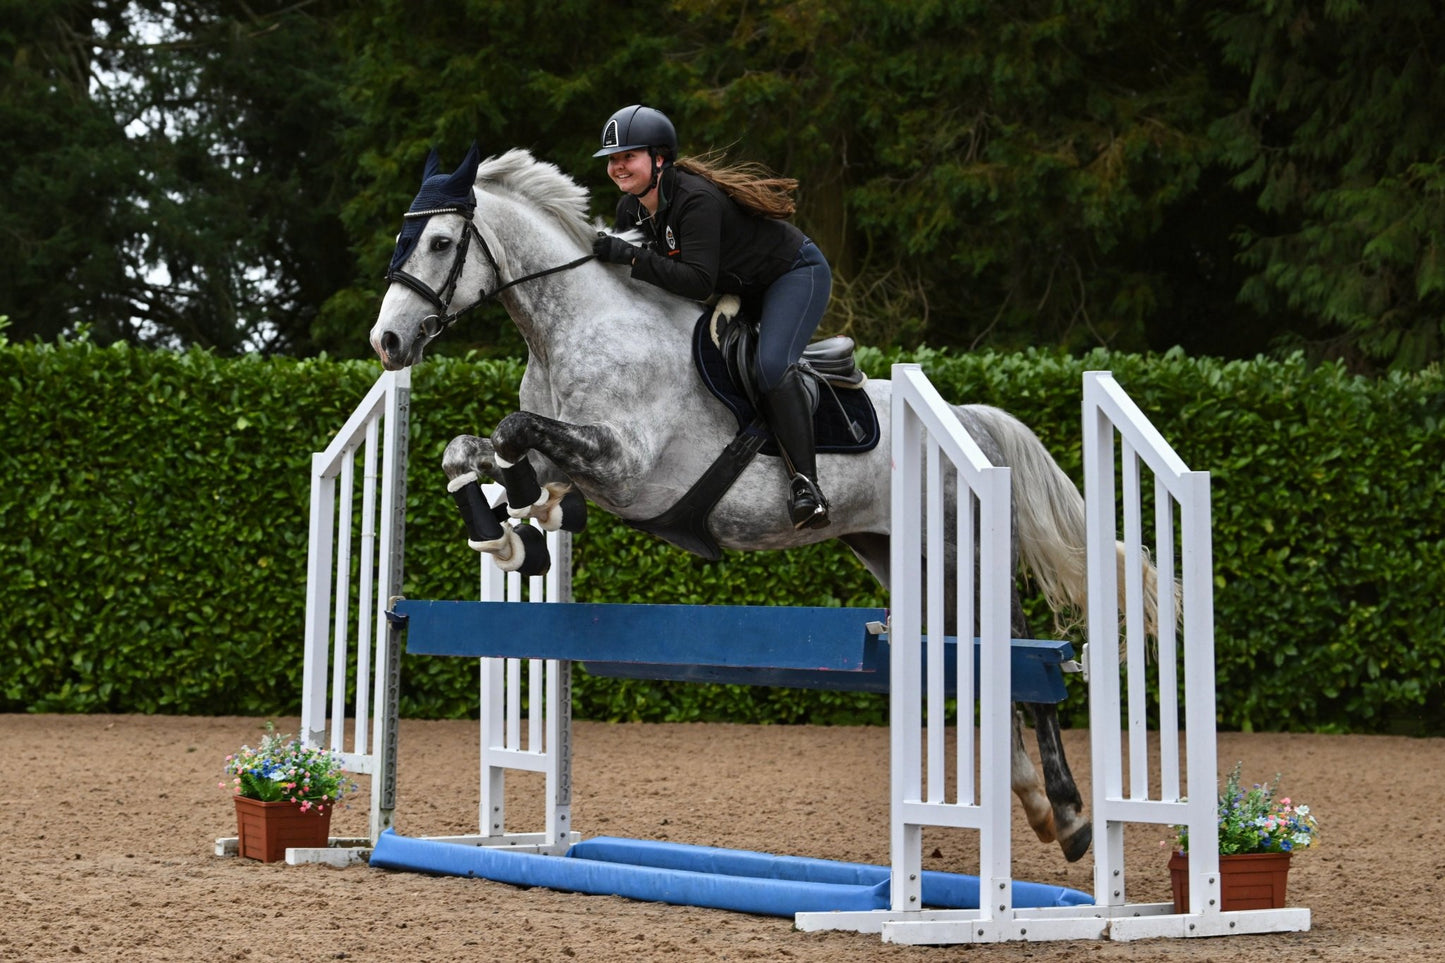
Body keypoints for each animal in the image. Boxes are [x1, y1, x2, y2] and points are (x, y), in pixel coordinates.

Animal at [375, 146, 1161, 856]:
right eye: (402, 238)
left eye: (440, 241)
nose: (386, 341)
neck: (576, 328)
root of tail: (967, 420)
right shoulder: (574, 454)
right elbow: (471, 451)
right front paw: (512, 531)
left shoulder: (626, 465)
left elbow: (514, 433)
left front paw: (524, 521)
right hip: (901, 558)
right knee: (971, 656)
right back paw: (1032, 799)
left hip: (960, 553)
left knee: (1026, 661)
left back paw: (1070, 816)